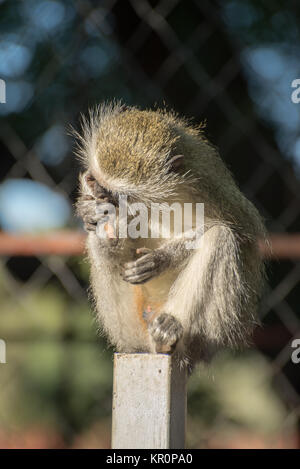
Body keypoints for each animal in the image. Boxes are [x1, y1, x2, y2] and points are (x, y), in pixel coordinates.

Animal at [75, 102, 268, 370]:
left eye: (122, 195)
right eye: (95, 182)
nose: (102, 200)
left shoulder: (210, 190)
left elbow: (241, 234)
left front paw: (161, 258)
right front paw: (89, 210)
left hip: (208, 336)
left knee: (220, 236)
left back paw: (167, 337)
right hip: (129, 330)